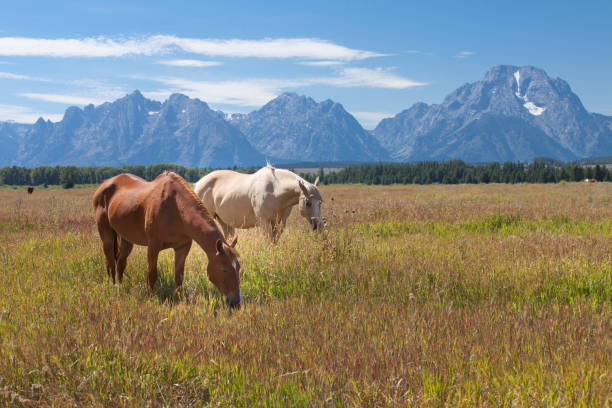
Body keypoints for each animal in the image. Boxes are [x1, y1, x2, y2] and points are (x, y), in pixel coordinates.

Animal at [93, 171, 241, 308]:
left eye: (238, 267)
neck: (176, 208)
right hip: (106, 233)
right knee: (110, 261)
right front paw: (149, 300)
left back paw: (120, 286)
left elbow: (179, 277)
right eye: (224, 269)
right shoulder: (153, 247)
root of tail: (105, 183)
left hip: (126, 238)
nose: (236, 302)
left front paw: (178, 301)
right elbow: (152, 275)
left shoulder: (182, 248)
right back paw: (113, 287)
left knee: (121, 263)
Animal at [194, 166, 322, 242]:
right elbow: (268, 241)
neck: (275, 189)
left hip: (224, 221)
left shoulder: (279, 222)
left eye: (320, 203)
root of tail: (198, 184)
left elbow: (275, 241)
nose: (319, 225)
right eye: (308, 203)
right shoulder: (264, 221)